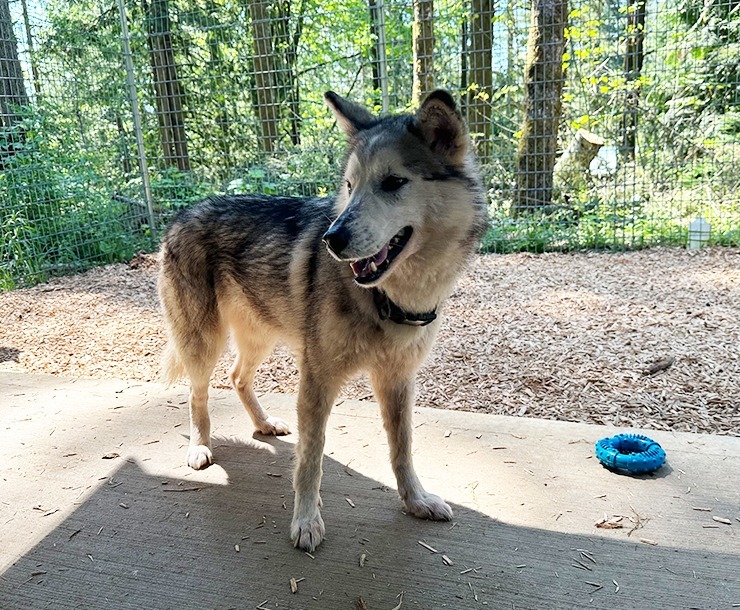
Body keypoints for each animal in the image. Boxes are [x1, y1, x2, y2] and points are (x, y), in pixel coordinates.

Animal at [159, 90, 488, 552]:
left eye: (393, 182)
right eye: (350, 187)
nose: (332, 239)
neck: (388, 298)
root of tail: (180, 213)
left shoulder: (397, 381)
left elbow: (402, 449)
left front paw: (416, 501)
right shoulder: (317, 380)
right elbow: (310, 461)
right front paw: (306, 521)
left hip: (259, 338)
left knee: (237, 378)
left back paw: (263, 424)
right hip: (204, 343)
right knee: (197, 395)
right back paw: (199, 448)